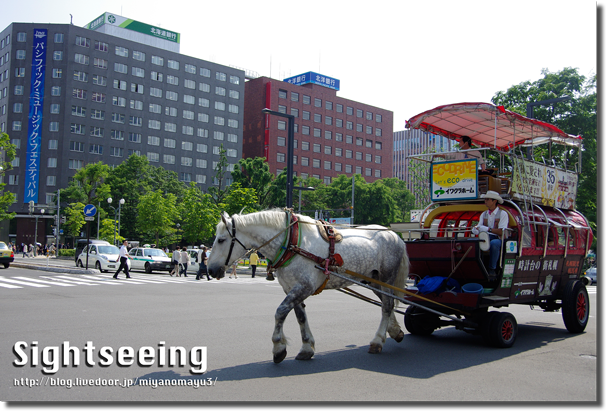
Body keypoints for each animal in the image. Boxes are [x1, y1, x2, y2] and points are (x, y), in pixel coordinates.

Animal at [205, 209, 408, 364]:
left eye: (221, 240)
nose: (210, 269)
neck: (291, 242)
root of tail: (394, 235)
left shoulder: (304, 287)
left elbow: (280, 312)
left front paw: (278, 347)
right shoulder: (291, 288)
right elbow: (300, 317)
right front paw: (306, 347)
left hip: (387, 278)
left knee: (387, 305)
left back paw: (378, 341)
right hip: (374, 280)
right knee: (387, 304)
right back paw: (395, 331)